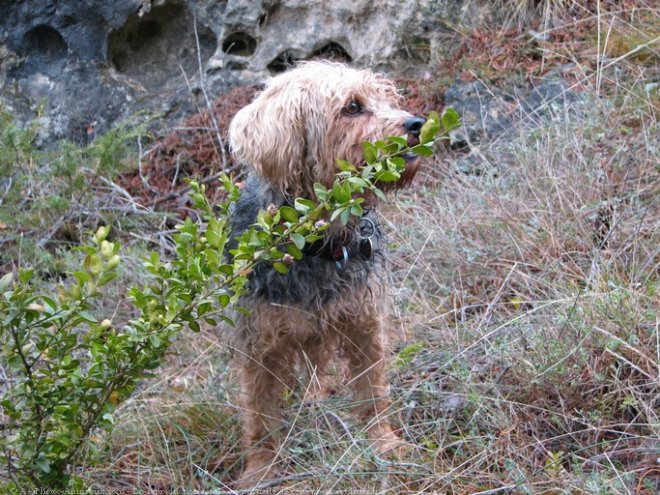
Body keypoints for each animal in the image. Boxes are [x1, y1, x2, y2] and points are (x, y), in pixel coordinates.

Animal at [227, 60, 422, 486]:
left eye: (388, 98)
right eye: (352, 107)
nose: (416, 122)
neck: (318, 245)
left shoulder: (365, 322)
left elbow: (372, 391)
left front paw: (384, 443)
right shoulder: (259, 345)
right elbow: (260, 416)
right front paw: (260, 470)